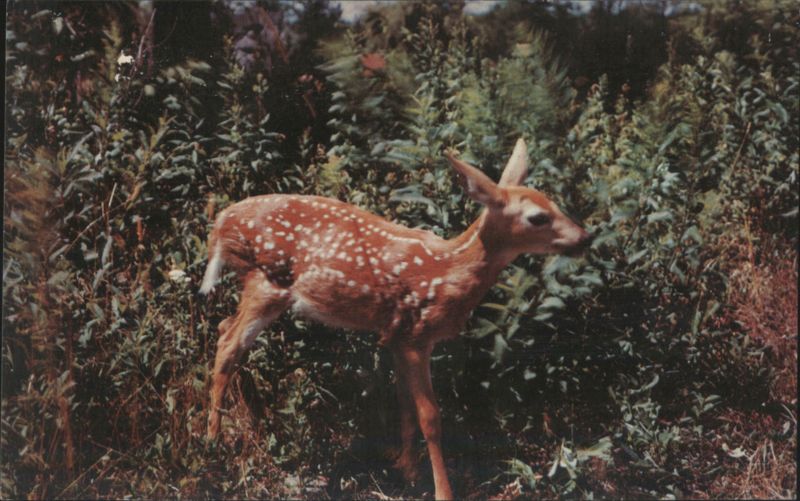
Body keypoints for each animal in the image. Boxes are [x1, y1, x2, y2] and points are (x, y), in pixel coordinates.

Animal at [199, 138, 592, 499]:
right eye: (537, 217)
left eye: (555, 203)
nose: (585, 238)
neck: (447, 272)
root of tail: (219, 225)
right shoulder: (416, 335)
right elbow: (430, 416)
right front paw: (442, 490)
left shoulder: (399, 336)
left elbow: (404, 402)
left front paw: (406, 469)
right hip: (267, 281)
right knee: (229, 342)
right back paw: (213, 441)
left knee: (225, 330)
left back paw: (253, 420)